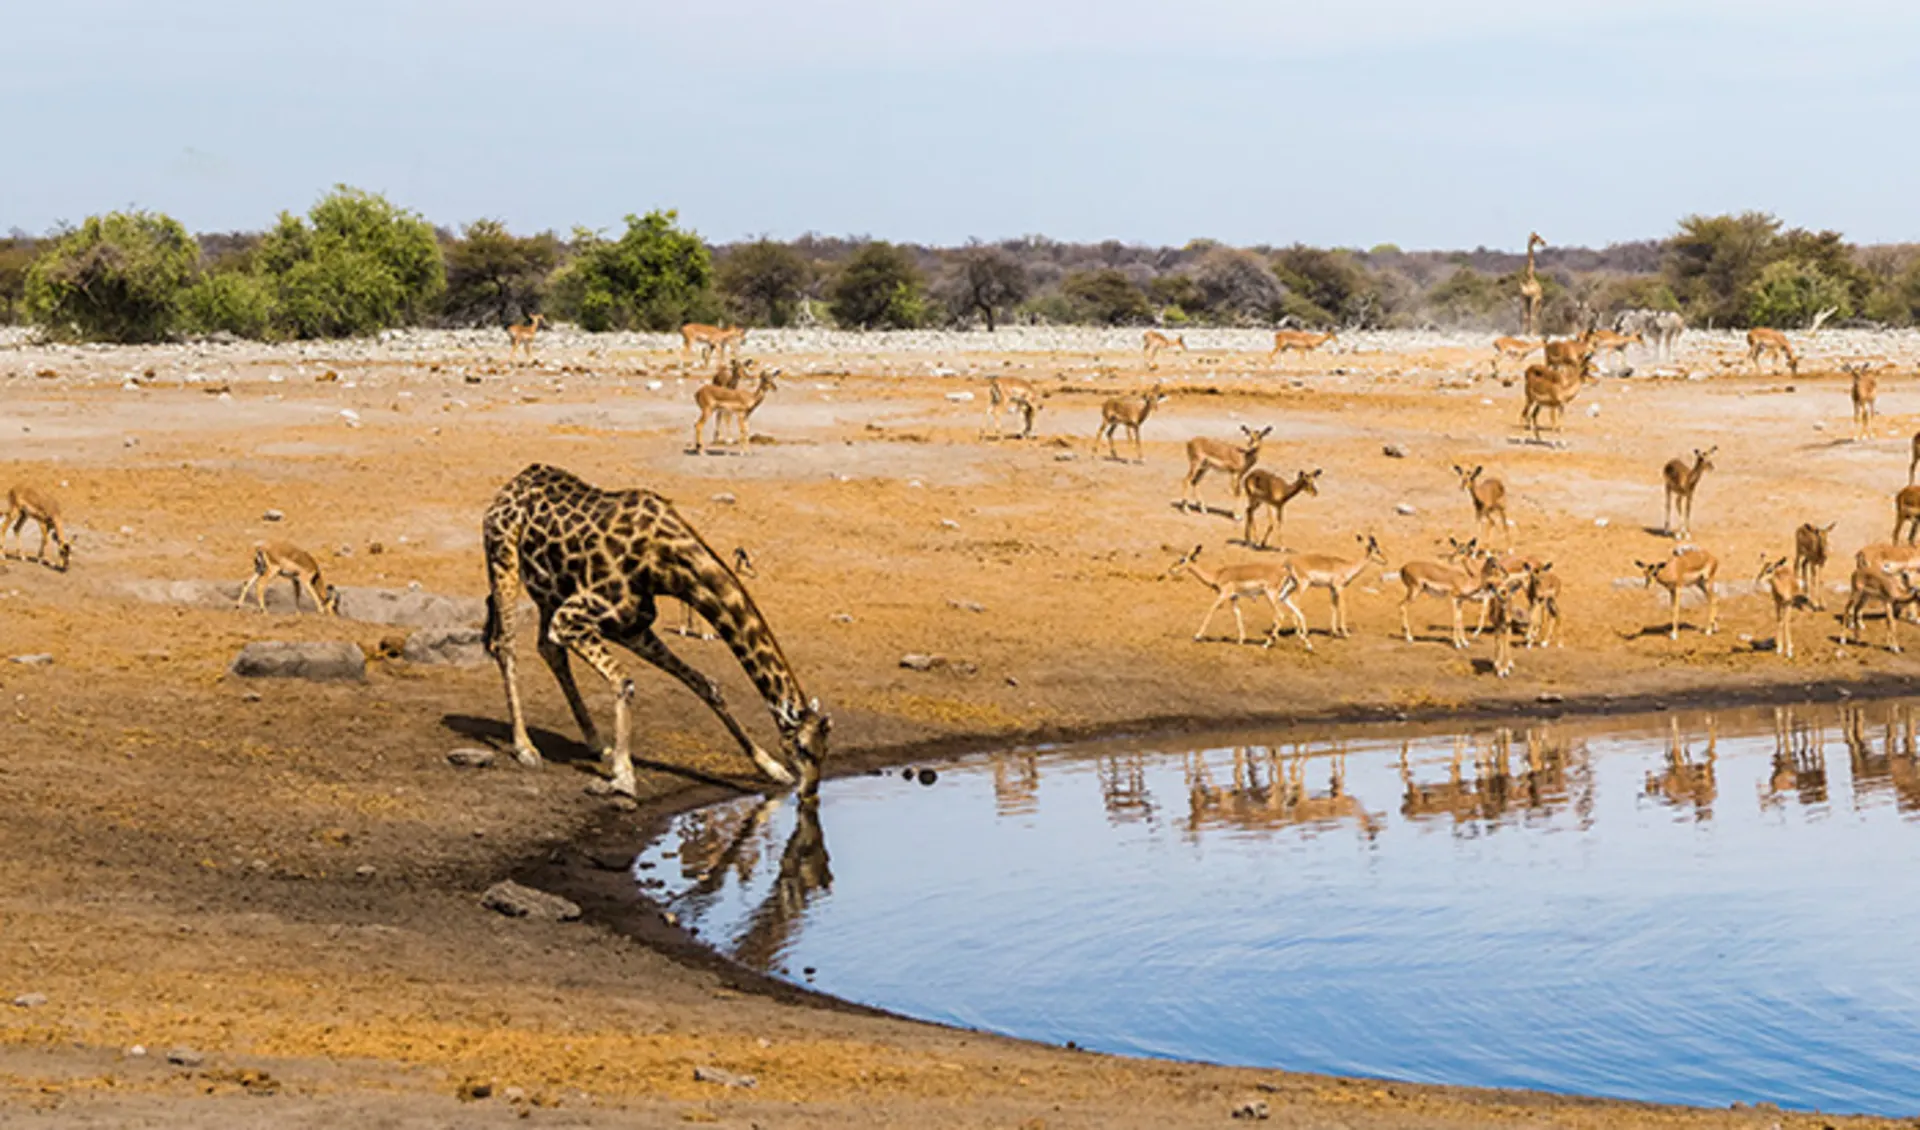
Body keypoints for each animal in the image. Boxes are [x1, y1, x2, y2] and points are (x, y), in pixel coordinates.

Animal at [480, 462, 825, 798]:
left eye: (824, 750)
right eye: (802, 748)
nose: (810, 791)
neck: (668, 564)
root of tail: (513, 483)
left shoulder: (631, 625)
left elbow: (705, 684)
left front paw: (771, 768)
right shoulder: (571, 617)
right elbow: (624, 681)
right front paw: (624, 777)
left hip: (549, 593)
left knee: (548, 649)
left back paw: (597, 744)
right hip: (503, 559)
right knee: (505, 644)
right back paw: (525, 748)